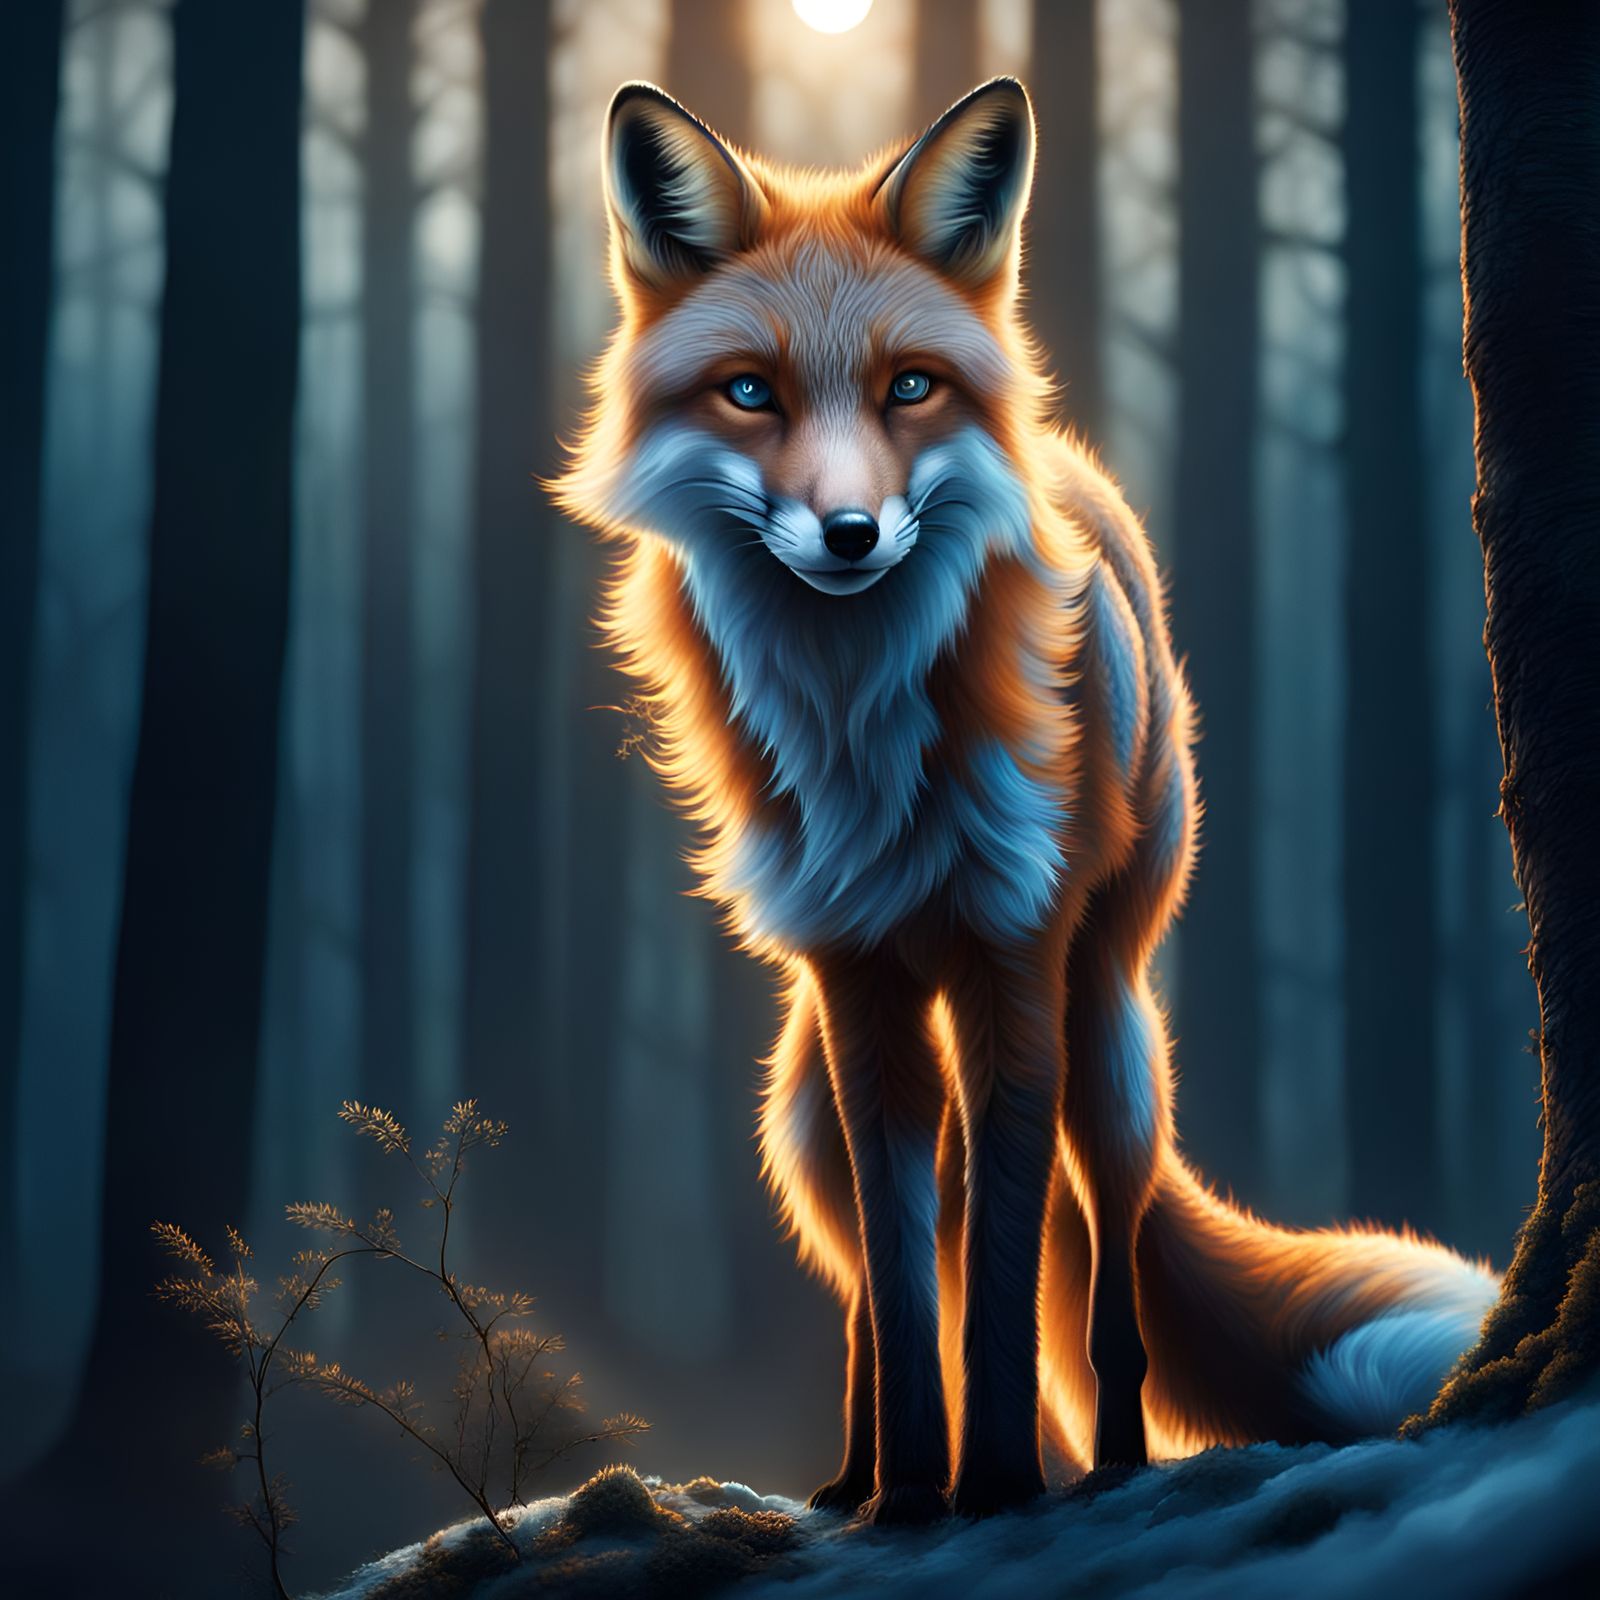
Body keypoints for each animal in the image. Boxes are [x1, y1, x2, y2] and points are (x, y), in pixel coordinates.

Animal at [552, 77, 1499, 1524]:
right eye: (750, 392)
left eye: (910, 387)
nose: (850, 536)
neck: (862, 734)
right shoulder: (862, 987)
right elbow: (904, 1285)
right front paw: (906, 1493)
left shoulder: (1014, 957)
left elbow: (1003, 1274)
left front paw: (994, 1480)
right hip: (809, 1098)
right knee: (869, 1285)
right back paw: (851, 1471)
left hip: (1106, 1032)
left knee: (1107, 1277)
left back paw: (1109, 1462)